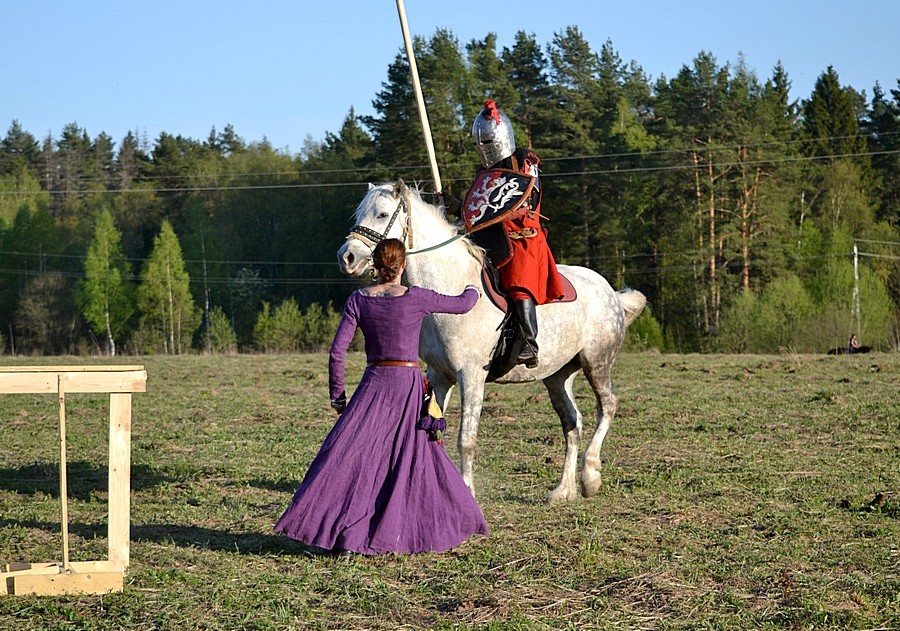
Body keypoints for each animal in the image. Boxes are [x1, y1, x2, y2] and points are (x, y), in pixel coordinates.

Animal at [340, 179, 648, 504]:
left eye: (383, 214)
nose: (346, 257)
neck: (449, 287)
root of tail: (610, 292)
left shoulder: (471, 376)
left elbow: (466, 438)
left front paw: (467, 492)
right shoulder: (439, 376)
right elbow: (431, 430)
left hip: (597, 362)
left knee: (608, 405)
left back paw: (590, 476)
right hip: (557, 375)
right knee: (572, 422)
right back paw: (563, 490)